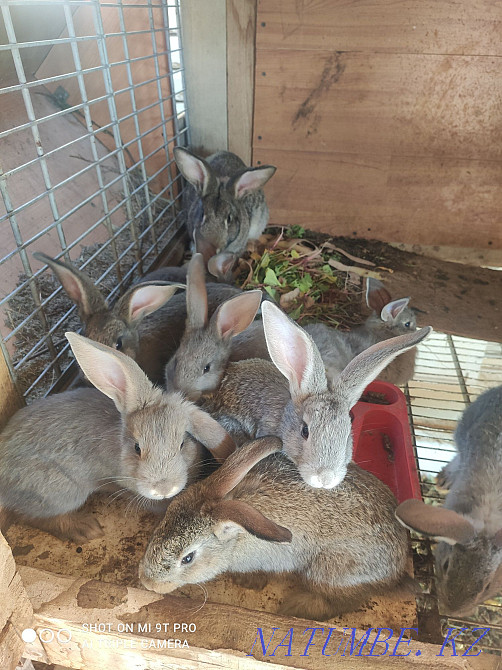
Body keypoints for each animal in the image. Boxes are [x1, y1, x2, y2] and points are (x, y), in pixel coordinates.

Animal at [0, 333, 235, 544]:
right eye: (137, 448)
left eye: (182, 443)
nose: (163, 489)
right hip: (61, 492)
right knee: (31, 515)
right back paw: (85, 529)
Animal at [139, 435, 410, 620]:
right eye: (166, 516)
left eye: (188, 558)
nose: (147, 582)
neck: (236, 538)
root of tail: (398, 572)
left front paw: (248, 582)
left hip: (329, 569)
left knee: (340, 602)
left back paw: (295, 607)